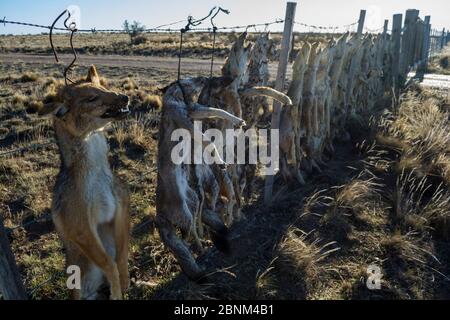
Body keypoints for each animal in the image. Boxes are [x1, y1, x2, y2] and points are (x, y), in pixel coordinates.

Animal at [38, 65, 131, 300]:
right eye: (91, 98)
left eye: (104, 87)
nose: (125, 97)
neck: (96, 172)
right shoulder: (80, 227)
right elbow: (110, 265)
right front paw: (117, 292)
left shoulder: (121, 208)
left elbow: (121, 257)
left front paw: (125, 283)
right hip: (78, 279)